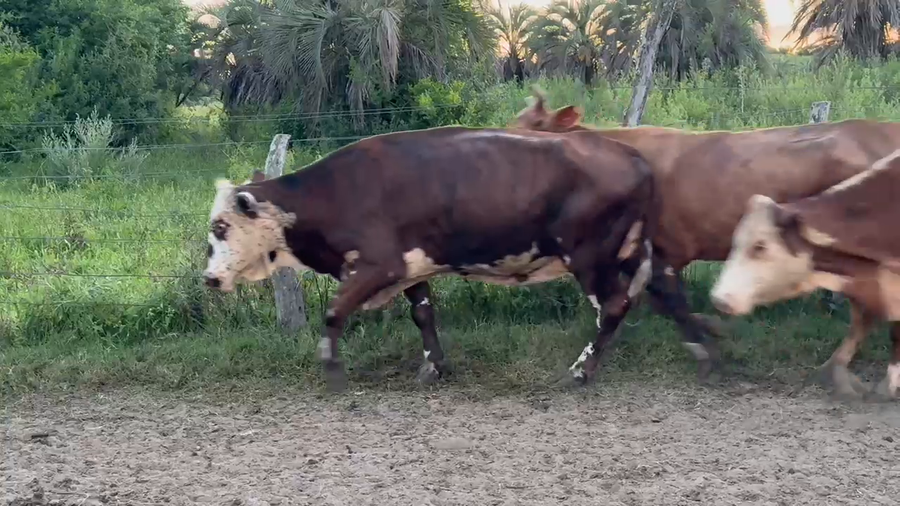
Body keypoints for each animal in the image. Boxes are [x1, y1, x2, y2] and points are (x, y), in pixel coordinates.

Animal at [202, 125, 674, 392]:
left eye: (220, 227)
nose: (208, 278)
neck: (336, 192)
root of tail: (631, 155)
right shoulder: (411, 267)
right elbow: (424, 314)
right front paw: (434, 366)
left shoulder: (379, 265)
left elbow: (335, 311)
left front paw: (332, 369)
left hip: (589, 256)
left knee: (613, 307)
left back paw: (579, 373)